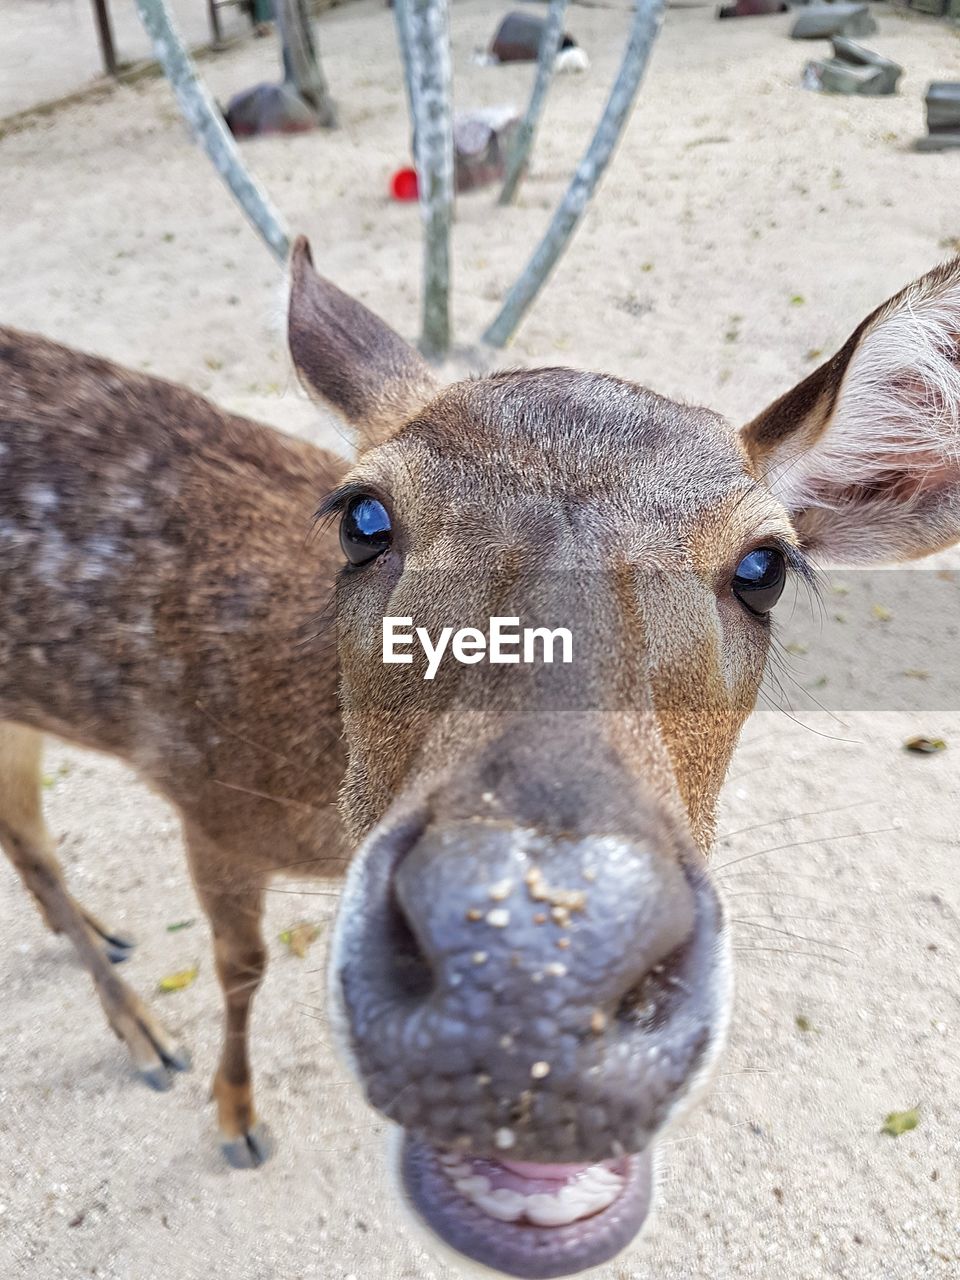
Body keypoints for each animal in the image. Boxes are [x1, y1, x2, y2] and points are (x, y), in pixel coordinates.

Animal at [0, 241, 957, 1280]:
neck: (309, 790)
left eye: (764, 568)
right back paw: (144, 1034)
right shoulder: (208, 799)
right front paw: (237, 1120)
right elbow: (241, 967)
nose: (529, 981)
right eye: (363, 518)